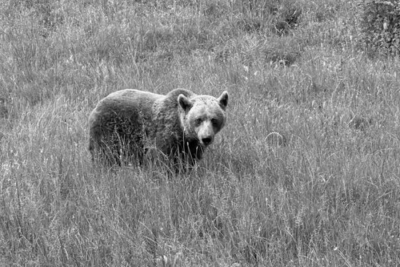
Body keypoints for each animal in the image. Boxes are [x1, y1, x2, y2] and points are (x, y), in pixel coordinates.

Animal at [89, 89, 230, 170]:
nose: (206, 138)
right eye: (198, 119)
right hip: (111, 127)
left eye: (214, 119)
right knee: (106, 153)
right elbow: (167, 158)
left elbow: (190, 159)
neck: (183, 131)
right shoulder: (165, 133)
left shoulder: (192, 144)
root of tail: (97, 104)